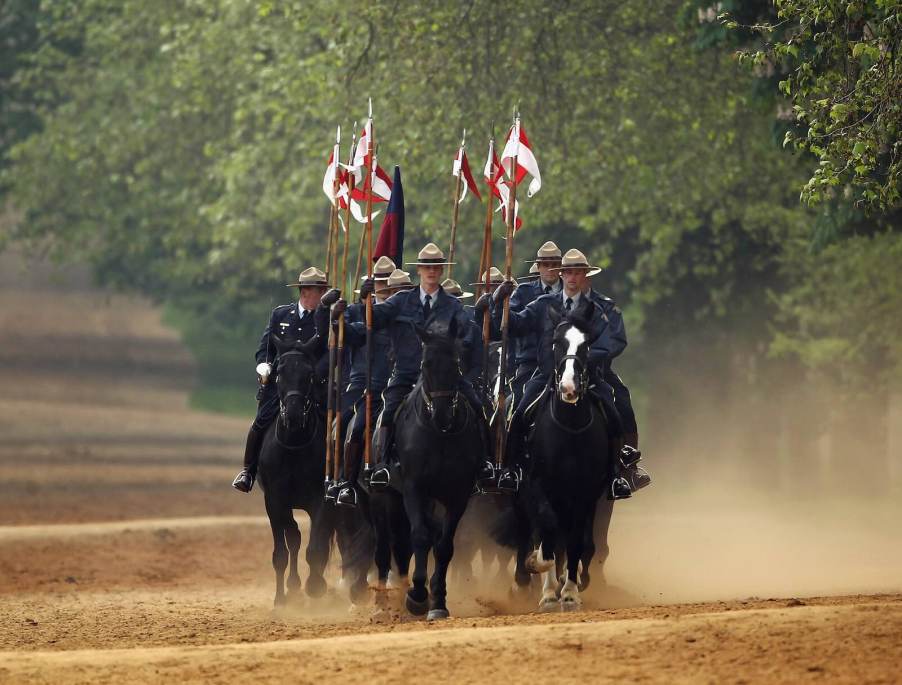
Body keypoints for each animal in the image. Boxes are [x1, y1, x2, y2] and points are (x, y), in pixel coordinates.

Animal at [256, 334, 372, 607]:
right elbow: (283, 549)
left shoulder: (322, 500)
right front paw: (281, 599)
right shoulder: (274, 501)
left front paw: (316, 586)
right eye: (279, 373)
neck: (295, 445)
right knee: (297, 536)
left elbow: (316, 548)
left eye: (309, 374)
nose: (294, 415)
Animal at [391, 316, 484, 620]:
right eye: (425, 365)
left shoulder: (458, 494)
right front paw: (418, 596)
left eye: (456, 363)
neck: (440, 435)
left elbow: (444, 546)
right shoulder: (413, 488)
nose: (442, 415)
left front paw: (438, 601)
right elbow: (420, 537)